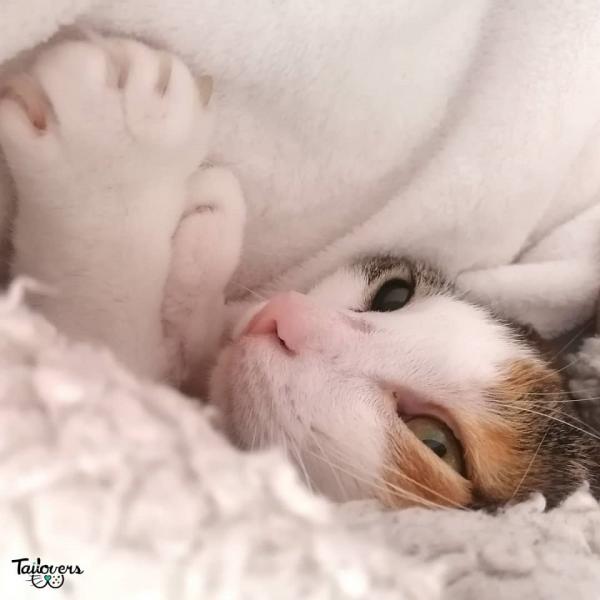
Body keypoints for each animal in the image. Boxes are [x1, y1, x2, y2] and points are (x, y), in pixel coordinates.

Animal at [0, 35, 598, 510]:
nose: (285, 317)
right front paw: (200, 246)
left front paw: (110, 172)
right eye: (394, 293)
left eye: (435, 443)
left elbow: (97, 353)